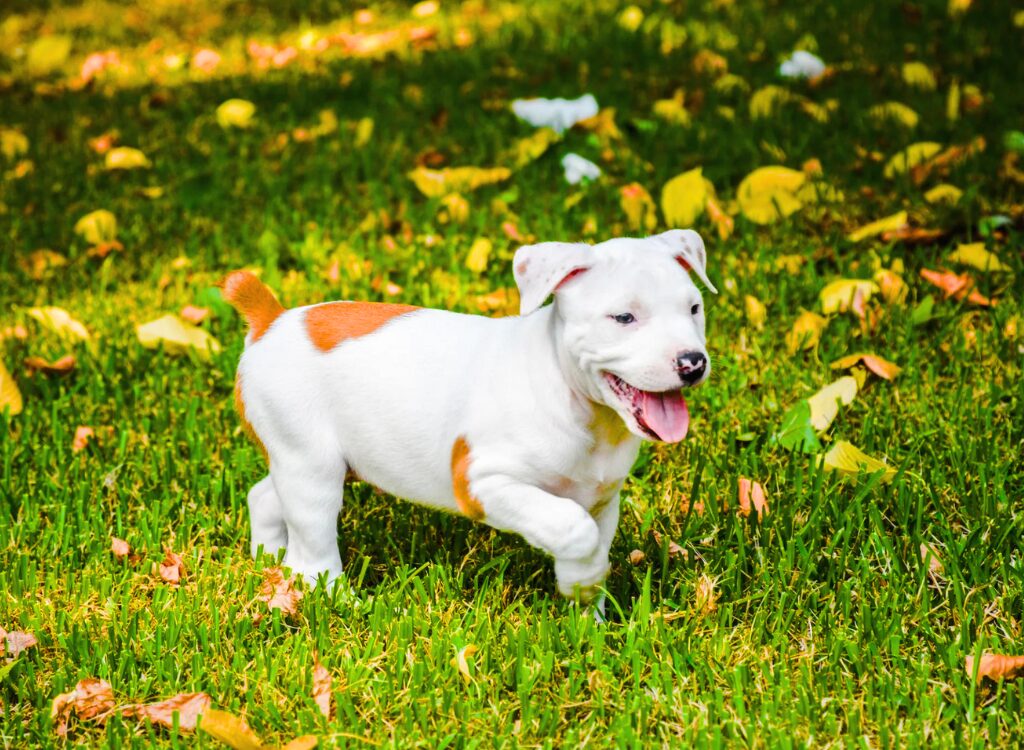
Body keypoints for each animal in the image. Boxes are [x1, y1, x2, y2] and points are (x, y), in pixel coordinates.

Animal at [226, 228, 712, 610]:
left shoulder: (602, 500)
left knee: (265, 497)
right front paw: (581, 581)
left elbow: (593, 540)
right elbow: (573, 528)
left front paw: (585, 609)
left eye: (694, 309)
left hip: (313, 461)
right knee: (312, 550)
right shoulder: (482, 482)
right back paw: (340, 599)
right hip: (312, 466)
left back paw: (267, 561)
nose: (693, 363)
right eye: (623, 317)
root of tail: (272, 320)